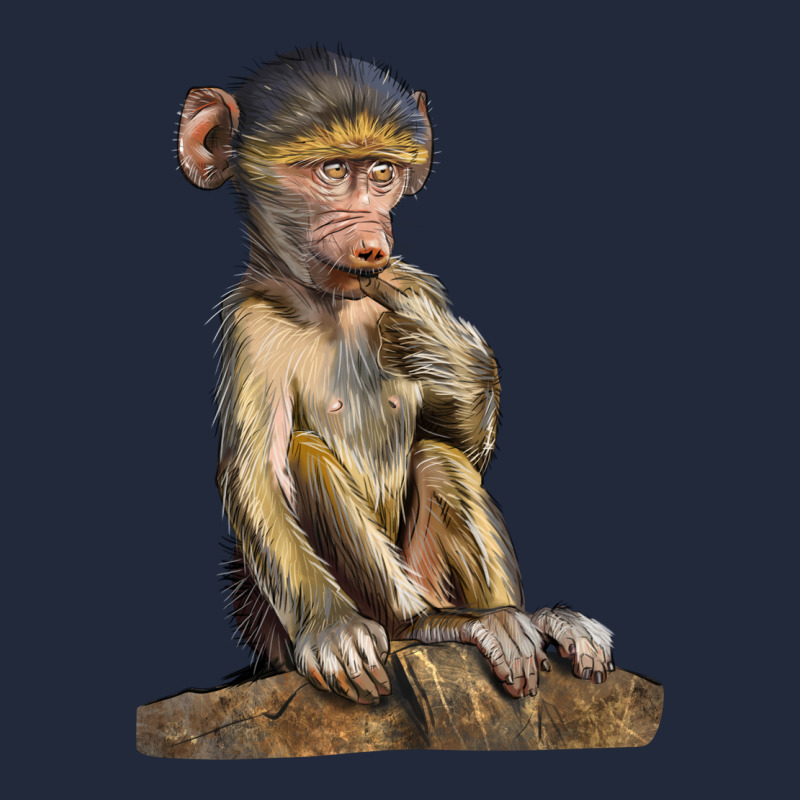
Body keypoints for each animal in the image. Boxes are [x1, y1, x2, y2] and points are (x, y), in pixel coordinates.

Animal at [176, 47, 614, 705]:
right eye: (333, 170)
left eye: (382, 173)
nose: (371, 242)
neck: (328, 304)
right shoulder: (250, 329)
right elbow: (256, 475)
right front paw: (329, 629)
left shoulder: (416, 284)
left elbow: (461, 446)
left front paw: (448, 355)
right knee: (307, 456)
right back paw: (429, 626)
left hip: (427, 568)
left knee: (440, 460)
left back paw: (526, 619)